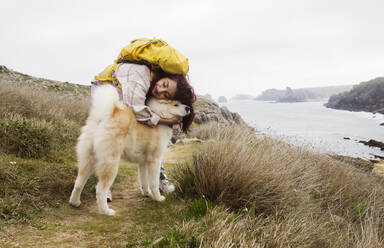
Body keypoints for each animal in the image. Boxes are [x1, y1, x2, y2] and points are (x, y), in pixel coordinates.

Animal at [68, 85, 190, 215]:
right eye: (176, 105)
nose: (188, 108)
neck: (160, 115)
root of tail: (104, 116)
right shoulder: (154, 161)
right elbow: (154, 183)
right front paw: (157, 198)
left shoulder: (143, 163)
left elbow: (144, 181)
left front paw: (147, 194)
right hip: (110, 164)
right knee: (100, 190)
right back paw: (106, 211)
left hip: (87, 160)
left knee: (78, 183)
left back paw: (75, 202)